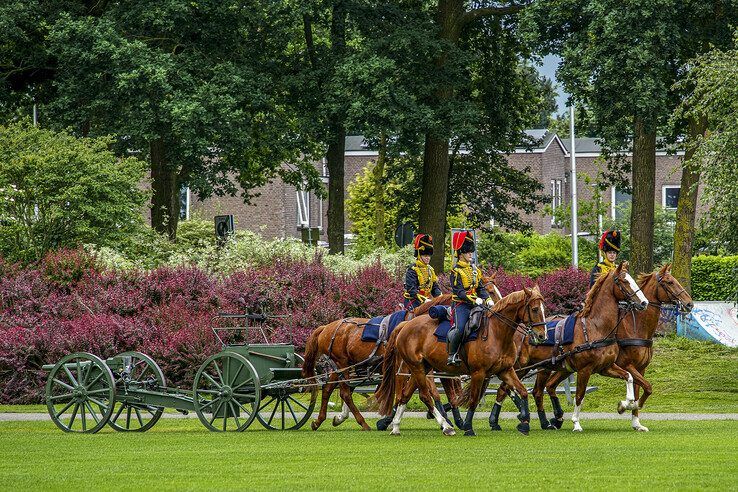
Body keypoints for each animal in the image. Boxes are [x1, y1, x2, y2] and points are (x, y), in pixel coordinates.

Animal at [376, 286, 544, 436]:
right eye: (535, 309)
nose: (542, 336)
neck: (497, 333)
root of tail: (405, 325)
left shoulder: (505, 370)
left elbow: (522, 391)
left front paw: (525, 423)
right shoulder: (478, 373)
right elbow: (474, 399)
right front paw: (468, 427)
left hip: (422, 368)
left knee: (405, 394)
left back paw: (396, 427)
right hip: (416, 367)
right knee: (424, 396)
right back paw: (446, 427)